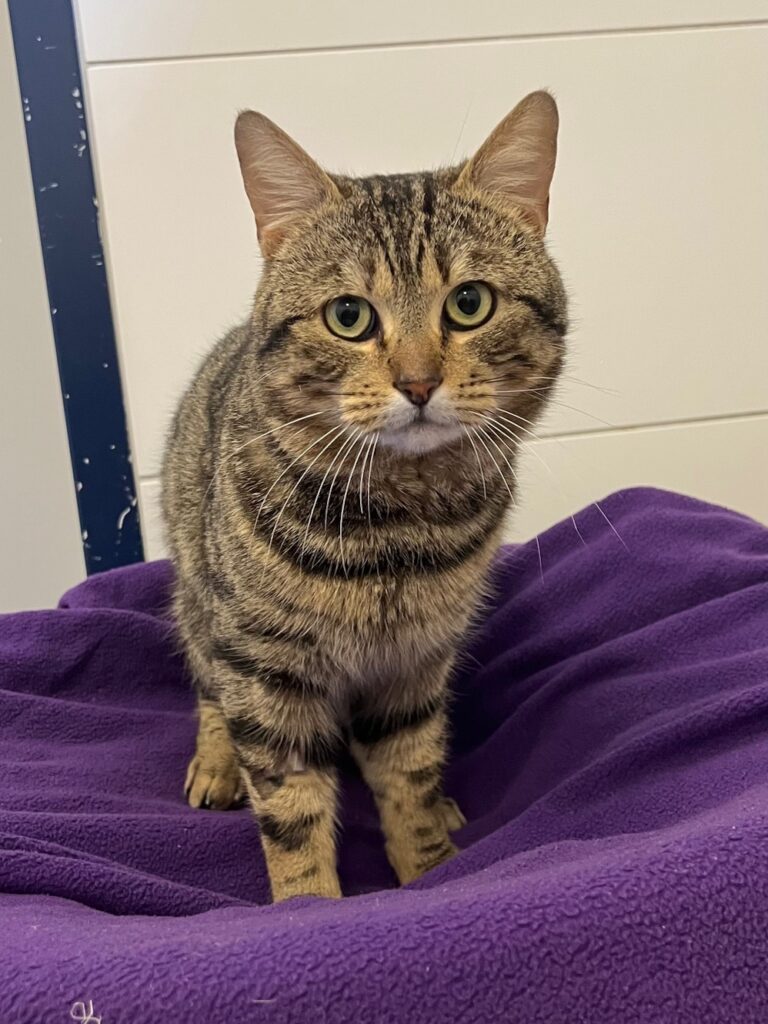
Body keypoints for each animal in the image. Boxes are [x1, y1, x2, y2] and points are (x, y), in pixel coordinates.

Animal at [162, 90, 567, 902]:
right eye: (348, 316)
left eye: (469, 303)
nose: (417, 382)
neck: (398, 527)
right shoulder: (264, 668)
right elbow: (290, 810)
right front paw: (307, 906)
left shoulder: (416, 665)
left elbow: (408, 777)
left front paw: (431, 867)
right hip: (197, 600)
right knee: (208, 688)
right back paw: (217, 763)